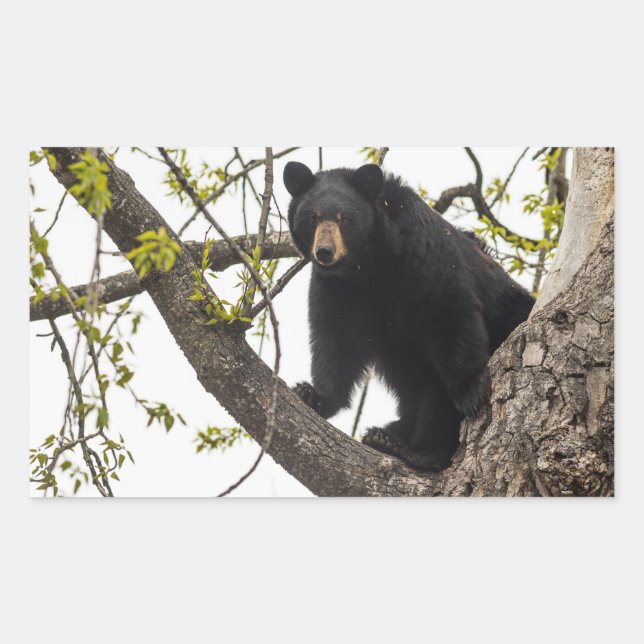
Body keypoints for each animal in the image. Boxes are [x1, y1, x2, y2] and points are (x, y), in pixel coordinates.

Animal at [283, 161, 535, 471]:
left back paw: (418, 450)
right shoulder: (337, 289)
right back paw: (385, 436)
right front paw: (314, 395)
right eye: (313, 218)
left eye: (344, 219)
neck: (368, 265)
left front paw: (471, 391)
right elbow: (336, 339)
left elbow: (449, 312)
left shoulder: (423, 255)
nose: (325, 252)